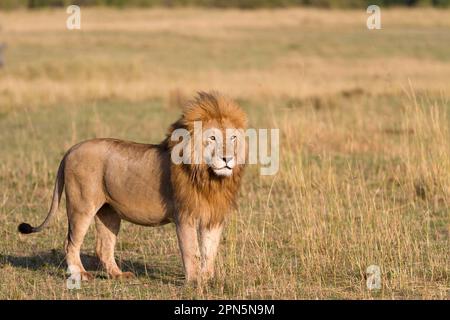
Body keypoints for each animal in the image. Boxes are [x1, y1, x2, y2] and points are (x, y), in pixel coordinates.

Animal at [17, 92, 248, 282]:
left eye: (233, 137)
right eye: (212, 138)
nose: (228, 158)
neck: (210, 178)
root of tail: (71, 149)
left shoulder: (213, 217)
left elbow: (210, 251)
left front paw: (208, 280)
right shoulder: (185, 216)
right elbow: (192, 251)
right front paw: (194, 282)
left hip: (108, 212)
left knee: (103, 247)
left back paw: (119, 275)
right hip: (81, 205)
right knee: (71, 242)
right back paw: (80, 274)